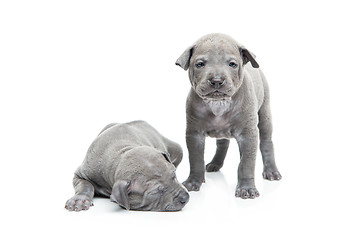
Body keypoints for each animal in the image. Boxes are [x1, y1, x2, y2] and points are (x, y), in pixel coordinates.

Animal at [176, 33, 282, 199]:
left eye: (232, 64)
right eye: (200, 64)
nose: (216, 80)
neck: (218, 104)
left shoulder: (248, 135)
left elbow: (246, 163)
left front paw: (246, 189)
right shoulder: (194, 135)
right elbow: (195, 159)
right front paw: (193, 182)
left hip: (264, 114)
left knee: (266, 143)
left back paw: (271, 171)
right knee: (222, 144)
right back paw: (215, 163)